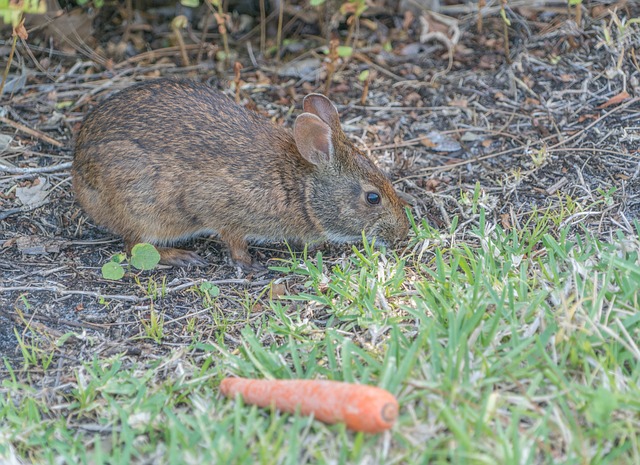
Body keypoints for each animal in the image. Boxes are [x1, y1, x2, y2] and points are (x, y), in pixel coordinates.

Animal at [71, 79, 410, 268]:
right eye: (372, 198)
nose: (402, 234)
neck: (302, 187)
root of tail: (78, 171)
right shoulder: (225, 209)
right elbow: (234, 241)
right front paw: (250, 264)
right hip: (144, 208)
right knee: (134, 247)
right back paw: (181, 257)